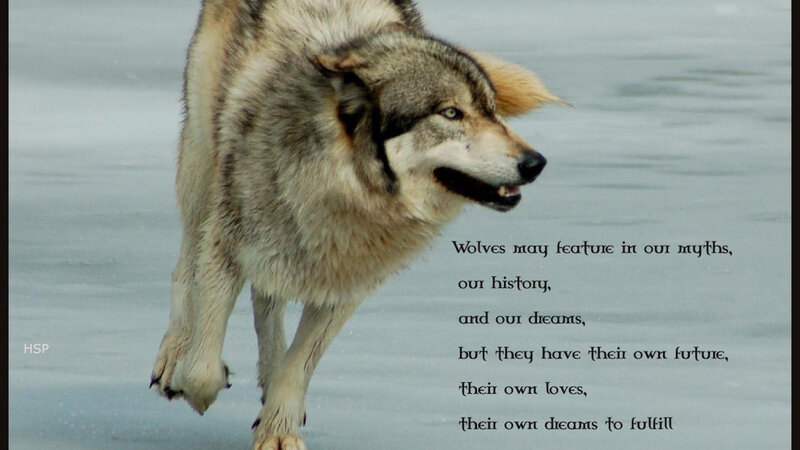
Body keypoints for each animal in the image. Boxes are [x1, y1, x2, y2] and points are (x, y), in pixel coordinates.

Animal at [150, 0, 562, 448]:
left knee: (266, 300)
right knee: (185, 265)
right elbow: (203, 368)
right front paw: (196, 384)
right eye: (451, 113)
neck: (345, 190)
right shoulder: (227, 243)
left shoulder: (346, 284)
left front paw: (279, 430)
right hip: (201, 169)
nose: (536, 163)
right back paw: (172, 356)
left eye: (491, 110)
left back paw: (268, 377)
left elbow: (298, 367)